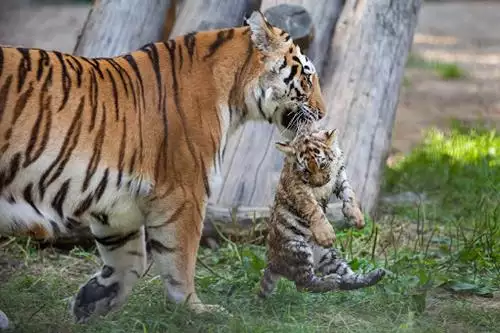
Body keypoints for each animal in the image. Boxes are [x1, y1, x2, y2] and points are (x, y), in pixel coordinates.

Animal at [0, 11, 326, 320]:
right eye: (308, 78)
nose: (322, 113)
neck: (235, 94)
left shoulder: (118, 202)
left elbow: (130, 261)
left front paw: (90, 301)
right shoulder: (184, 192)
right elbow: (180, 258)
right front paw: (195, 310)